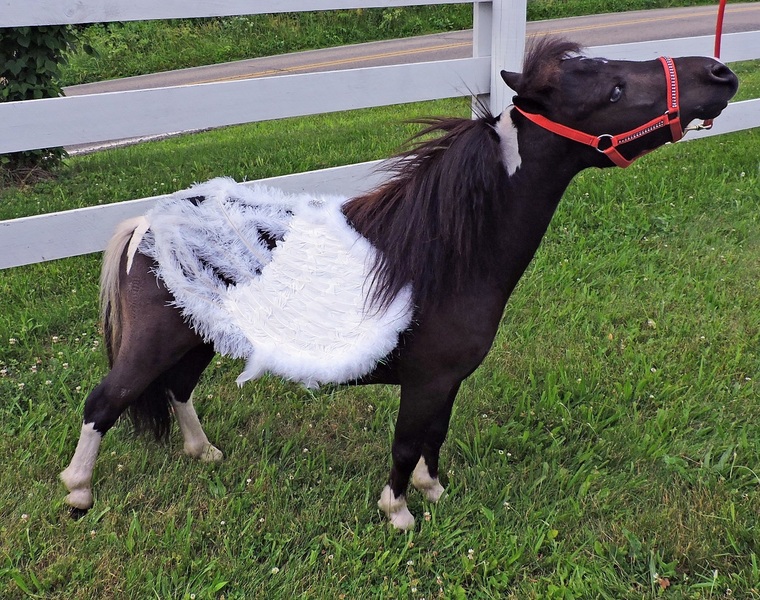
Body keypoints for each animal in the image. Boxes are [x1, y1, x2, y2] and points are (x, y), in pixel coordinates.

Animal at [60, 39, 738, 529]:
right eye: (614, 89)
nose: (720, 74)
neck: (449, 252)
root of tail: (150, 222)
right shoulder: (426, 380)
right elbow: (407, 442)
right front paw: (399, 513)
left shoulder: (447, 382)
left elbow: (434, 437)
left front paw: (432, 492)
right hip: (154, 341)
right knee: (104, 403)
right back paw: (78, 493)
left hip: (196, 336)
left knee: (177, 390)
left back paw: (205, 455)